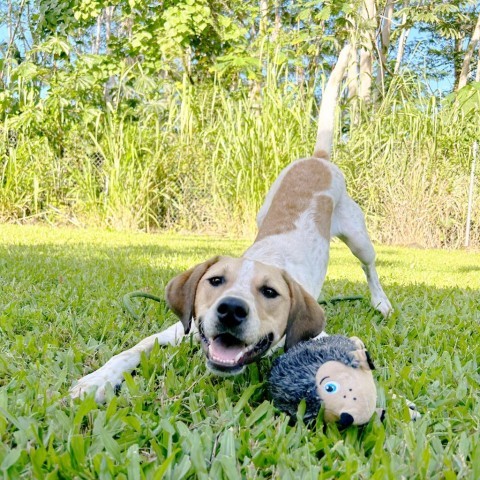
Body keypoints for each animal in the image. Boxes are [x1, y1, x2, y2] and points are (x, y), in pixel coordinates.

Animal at [72, 47, 394, 404]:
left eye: (270, 292)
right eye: (215, 281)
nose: (231, 310)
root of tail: (319, 158)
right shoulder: (179, 329)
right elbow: (132, 351)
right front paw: (97, 380)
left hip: (358, 236)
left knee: (369, 267)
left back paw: (381, 302)